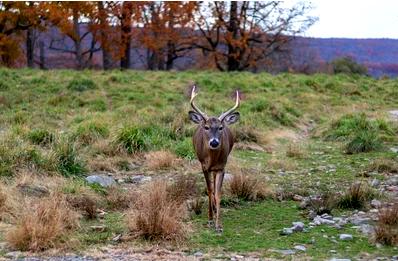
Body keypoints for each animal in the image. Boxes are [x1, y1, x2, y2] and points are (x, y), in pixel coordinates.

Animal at [189, 85, 241, 232]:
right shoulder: (204, 166)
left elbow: (218, 193)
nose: (214, 142)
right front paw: (210, 220)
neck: (211, 160)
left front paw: (219, 225)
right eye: (206, 127)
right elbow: (209, 190)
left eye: (221, 127)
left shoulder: (222, 167)